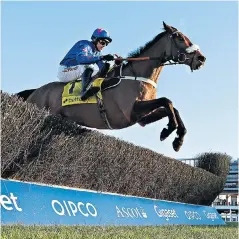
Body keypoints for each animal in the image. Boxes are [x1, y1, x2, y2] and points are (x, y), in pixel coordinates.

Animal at [16, 22, 205, 153]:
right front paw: (169, 131)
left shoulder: (141, 117)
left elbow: (172, 107)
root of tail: (35, 91)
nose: (201, 58)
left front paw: (177, 138)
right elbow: (167, 101)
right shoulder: (131, 111)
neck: (137, 74)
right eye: (180, 37)